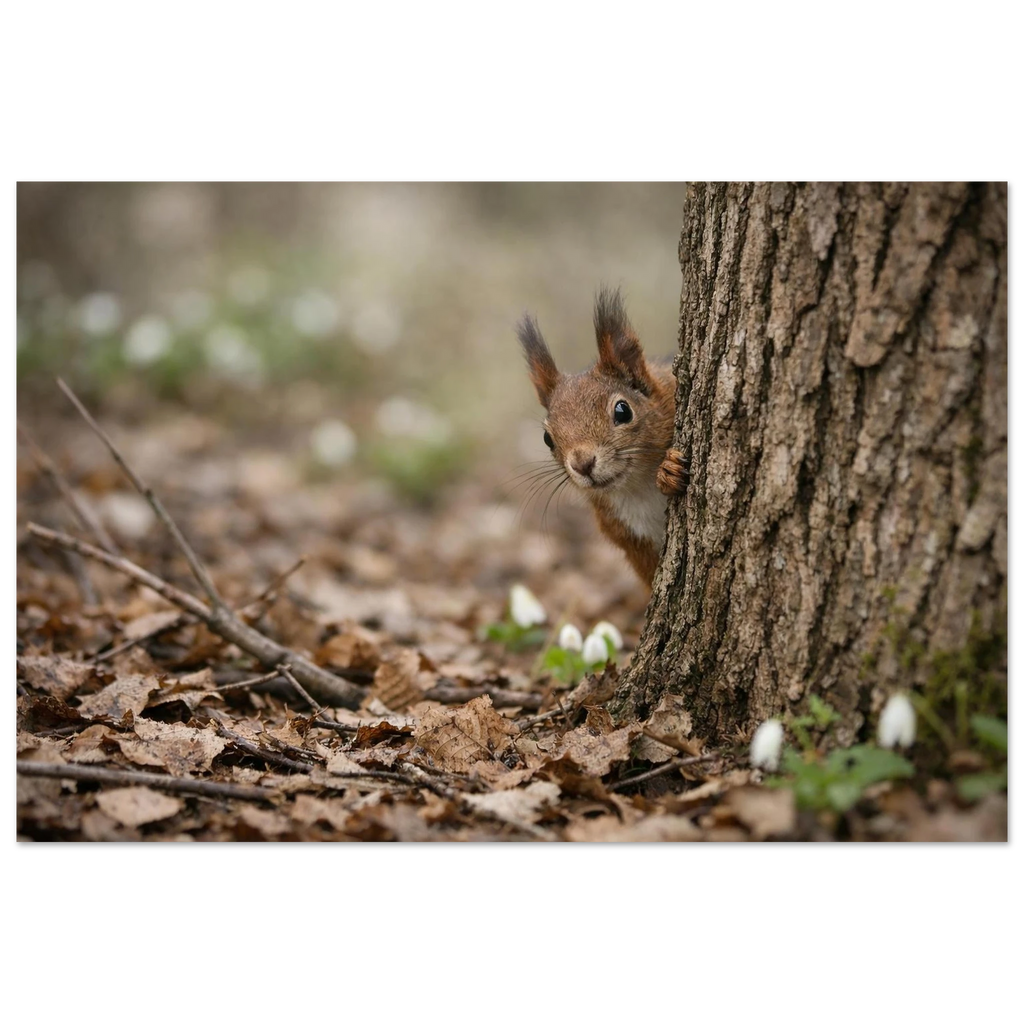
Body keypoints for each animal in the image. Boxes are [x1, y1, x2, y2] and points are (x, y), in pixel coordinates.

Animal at [517, 287, 688, 587]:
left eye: (623, 410)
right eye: (547, 439)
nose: (582, 463)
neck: (639, 488)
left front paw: (669, 469)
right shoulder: (630, 539)